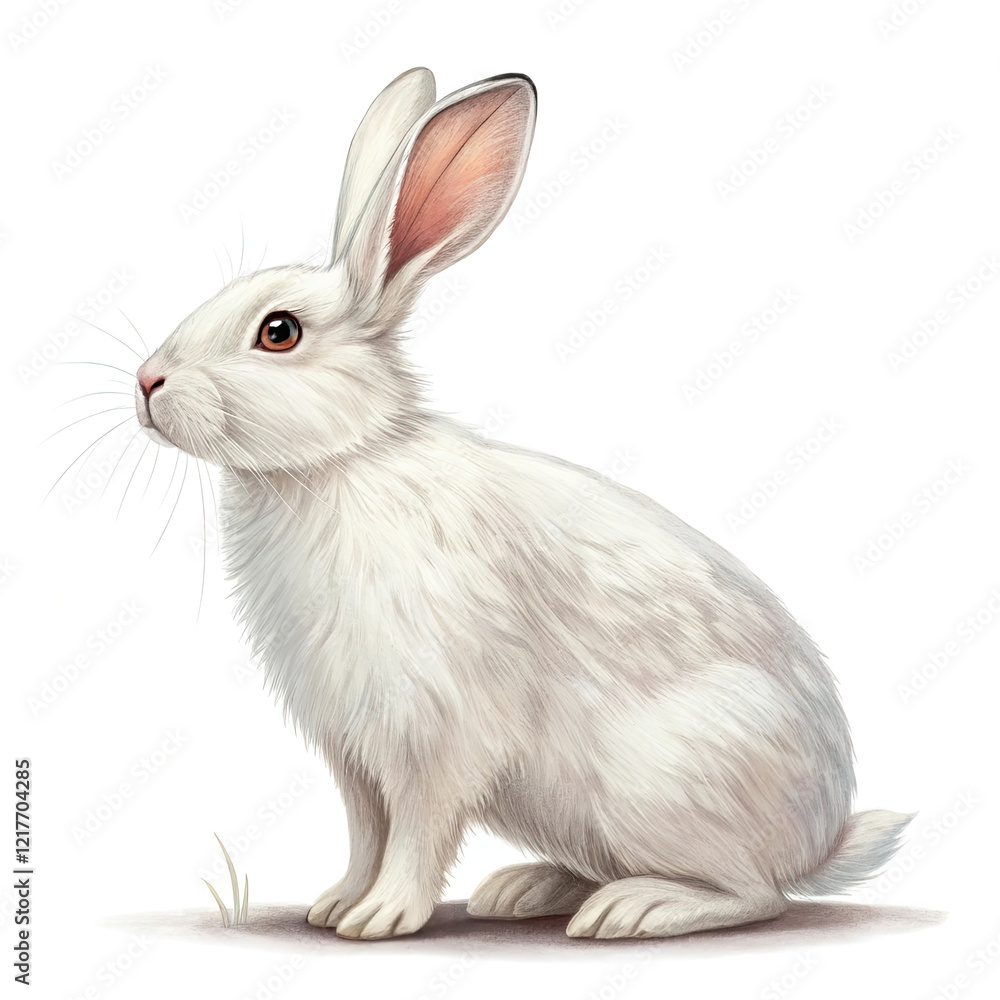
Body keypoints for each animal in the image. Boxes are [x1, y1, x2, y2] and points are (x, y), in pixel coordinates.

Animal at [133, 67, 913, 940]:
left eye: (278, 332)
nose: (146, 382)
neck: (340, 462)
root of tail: (822, 837)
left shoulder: (434, 729)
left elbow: (418, 827)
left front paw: (382, 918)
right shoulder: (352, 750)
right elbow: (366, 829)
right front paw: (335, 905)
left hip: (660, 781)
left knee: (754, 894)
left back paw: (635, 909)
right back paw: (526, 889)